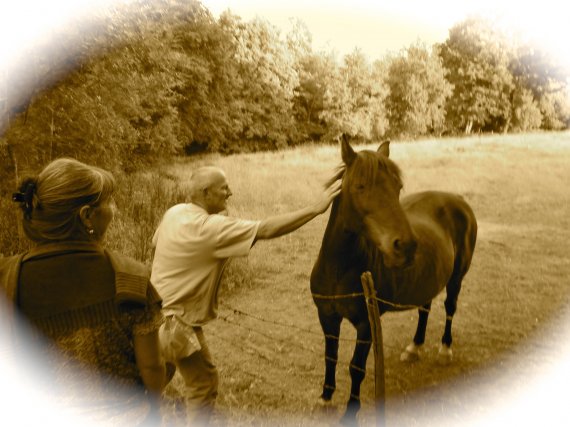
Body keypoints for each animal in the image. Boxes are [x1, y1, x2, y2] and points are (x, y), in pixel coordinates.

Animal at [308, 135, 478, 422]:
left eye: (398, 187)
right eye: (360, 186)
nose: (406, 247)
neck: (338, 270)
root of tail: (458, 200)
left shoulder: (366, 324)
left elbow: (356, 367)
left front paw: (350, 412)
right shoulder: (327, 316)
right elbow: (330, 357)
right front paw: (325, 398)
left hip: (457, 278)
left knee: (449, 308)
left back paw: (445, 350)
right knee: (424, 309)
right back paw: (414, 348)